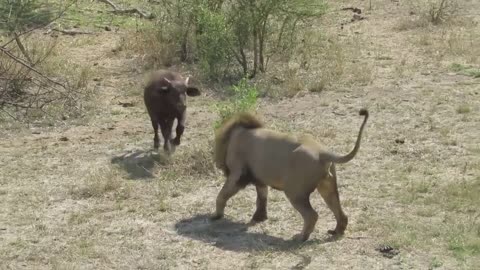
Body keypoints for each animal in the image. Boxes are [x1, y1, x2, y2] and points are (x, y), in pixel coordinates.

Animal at [211, 108, 372, 242]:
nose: (218, 165)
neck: (234, 135)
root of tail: (323, 153)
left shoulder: (237, 174)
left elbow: (221, 195)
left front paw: (216, 216)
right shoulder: (259, 178)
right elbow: (261, 197)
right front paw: (259, 217)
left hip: (295, 192)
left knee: (312, 215)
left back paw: (300, 237)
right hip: (327, 187)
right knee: (340, 212)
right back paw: (336, 231)